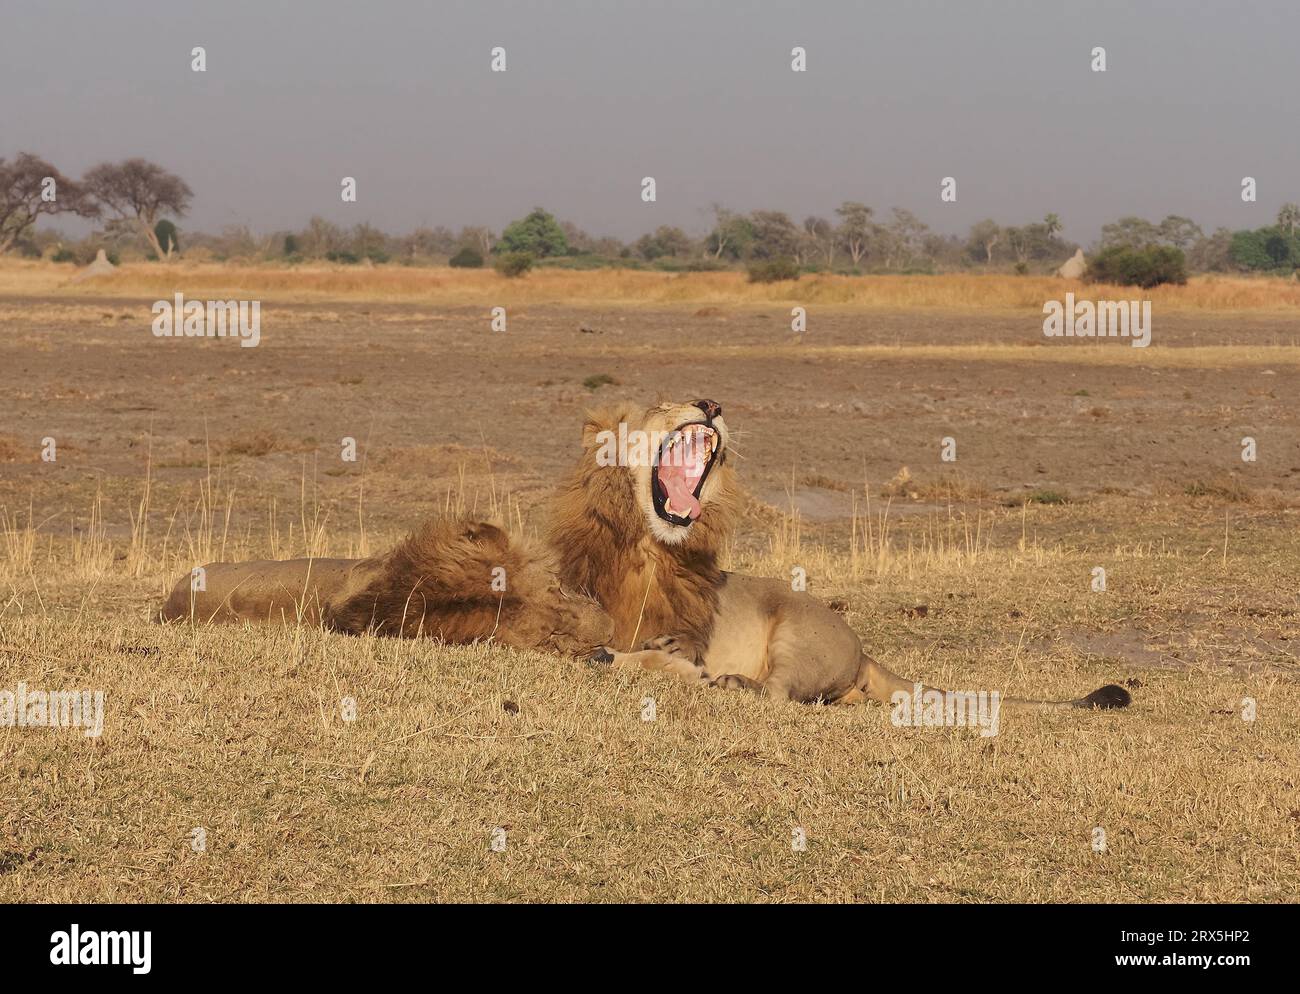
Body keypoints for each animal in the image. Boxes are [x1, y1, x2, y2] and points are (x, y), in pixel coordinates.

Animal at [546, 397, 1128, 712]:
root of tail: (863, 649)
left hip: (797, 636)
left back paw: (733, 682)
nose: (711, 406)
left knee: (777, 692)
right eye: (663, 407)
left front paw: (652, 661)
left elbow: (640, 657)